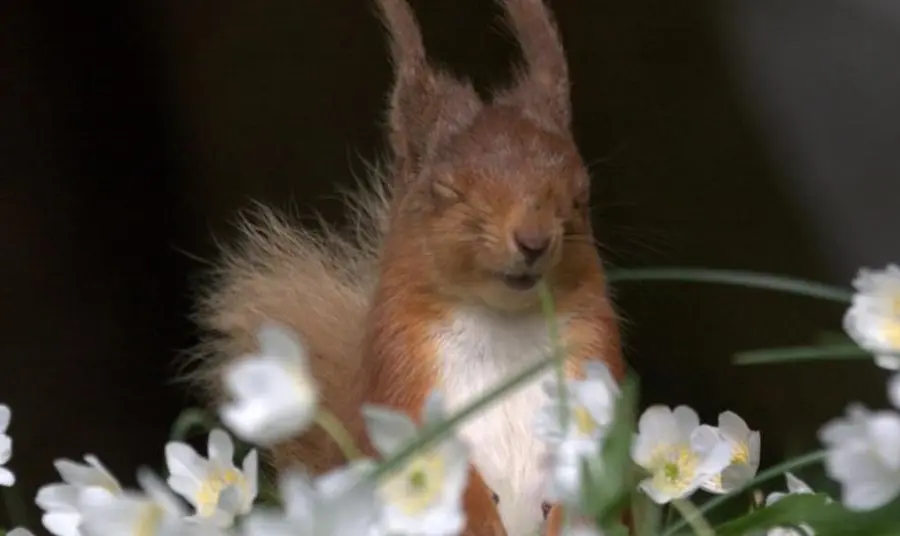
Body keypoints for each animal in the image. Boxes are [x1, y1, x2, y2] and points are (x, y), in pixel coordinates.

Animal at [192, 1, 624, 536]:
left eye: (581, 193)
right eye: (447, 190)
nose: (534, 240)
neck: (503, 320)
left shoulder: (593, 353)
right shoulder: (403, 371)